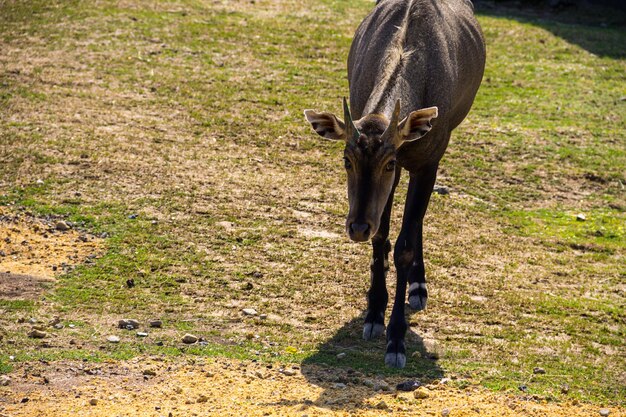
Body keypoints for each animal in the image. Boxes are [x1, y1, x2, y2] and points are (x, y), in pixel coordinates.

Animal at [302, 0, 482, 366]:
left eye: (388, 162)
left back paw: (418, 287)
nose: (356, 227)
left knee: (415, 224)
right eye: (346, 160)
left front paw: (396, 339)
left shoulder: (425, 161)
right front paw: (373, 314)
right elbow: (382, 236)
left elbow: (405, 246)